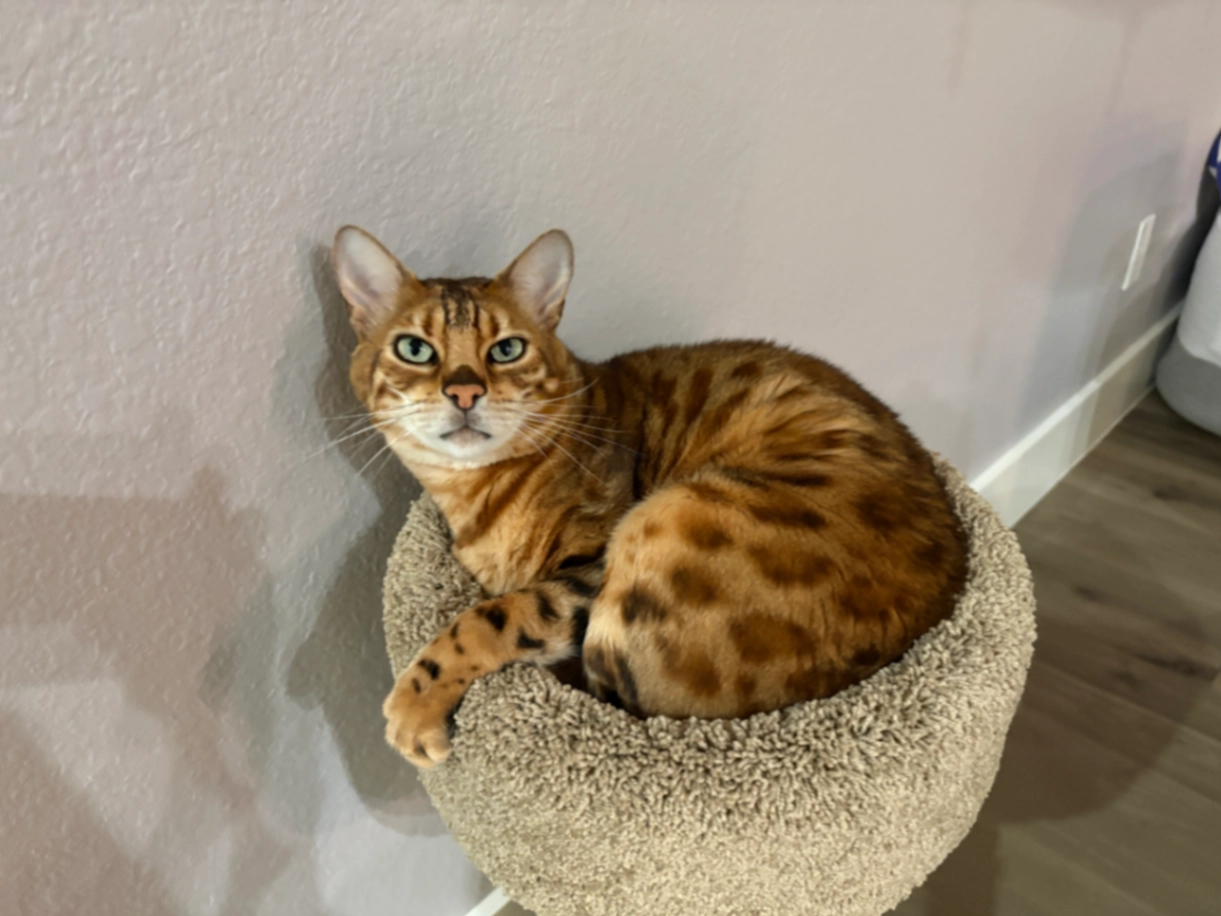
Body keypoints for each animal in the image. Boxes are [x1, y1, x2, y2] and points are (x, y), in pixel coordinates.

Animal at [332, 226, 968, 769]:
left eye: (507, 349)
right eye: (415, 349)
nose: (464, 391)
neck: (474, 502)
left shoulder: (588, 570)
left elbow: (494, 616)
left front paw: (415, 706)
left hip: (668, 517)